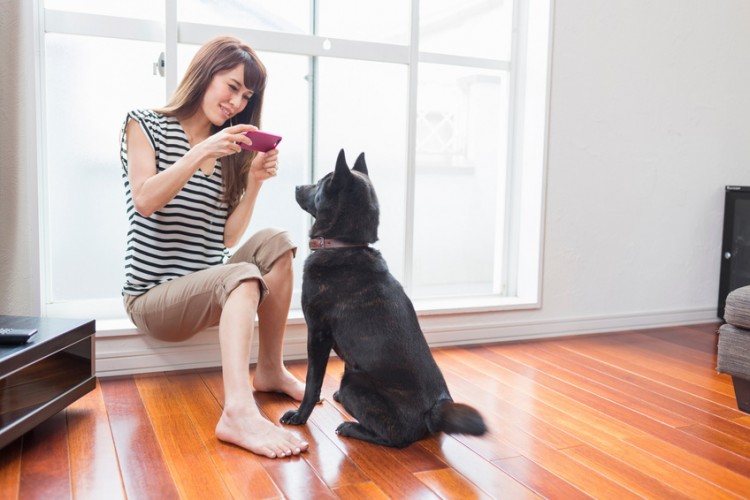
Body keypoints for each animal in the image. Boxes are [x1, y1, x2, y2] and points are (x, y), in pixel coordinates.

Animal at [282, 150, 488, 448]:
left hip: (352, 383)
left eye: (321, 183)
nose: (297, 186)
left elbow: (312, 384)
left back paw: (352, 427)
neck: (346, 245)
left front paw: (300, 415)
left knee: (396, 438)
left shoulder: (318, 334)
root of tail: (434, 412)